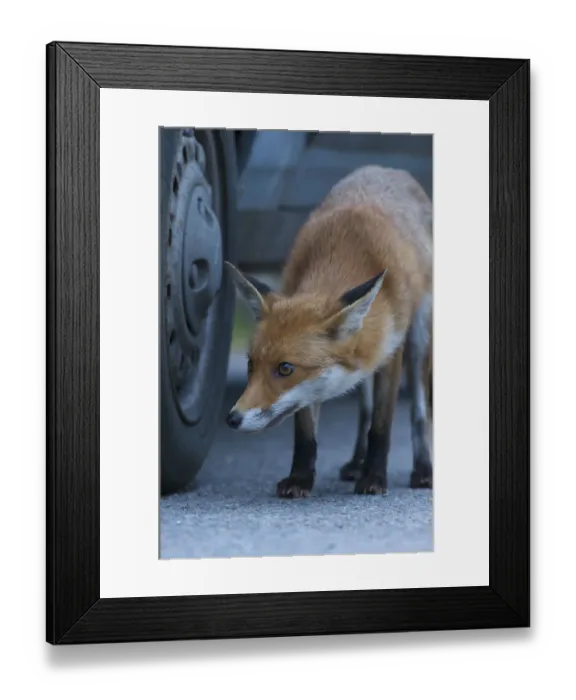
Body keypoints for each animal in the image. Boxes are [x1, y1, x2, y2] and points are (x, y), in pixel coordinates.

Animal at [224, 165, 433, 499]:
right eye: (250, 365)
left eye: (285, 368)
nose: (232, 419)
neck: (344, 254)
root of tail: (386, 168)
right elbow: (306, 432)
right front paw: (300, 478)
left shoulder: (391, 350)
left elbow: (382, 426)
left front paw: (374, 477)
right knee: (365, 408)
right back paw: (356, 462)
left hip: (420, 335)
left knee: (419, 411)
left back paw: (422, 469)